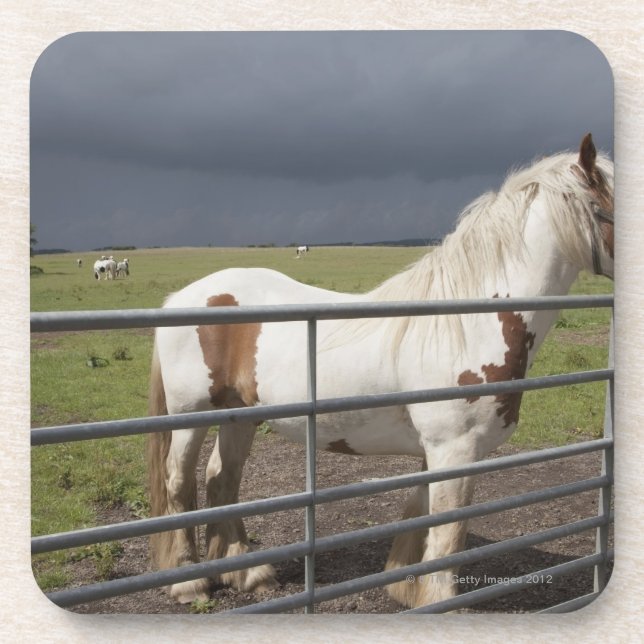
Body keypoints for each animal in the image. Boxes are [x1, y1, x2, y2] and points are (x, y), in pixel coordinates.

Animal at [146, 134, 614, 608]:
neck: (466, 323)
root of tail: (180, 299)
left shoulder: (440, 451)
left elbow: (421, 517)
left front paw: (406, 587)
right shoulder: (455, 450)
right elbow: (448, 533)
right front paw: (438, 600)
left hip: (239, 415)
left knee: (223, 481)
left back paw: (248, 573)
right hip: (189, 416)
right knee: (179, 483)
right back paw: (188, 582)